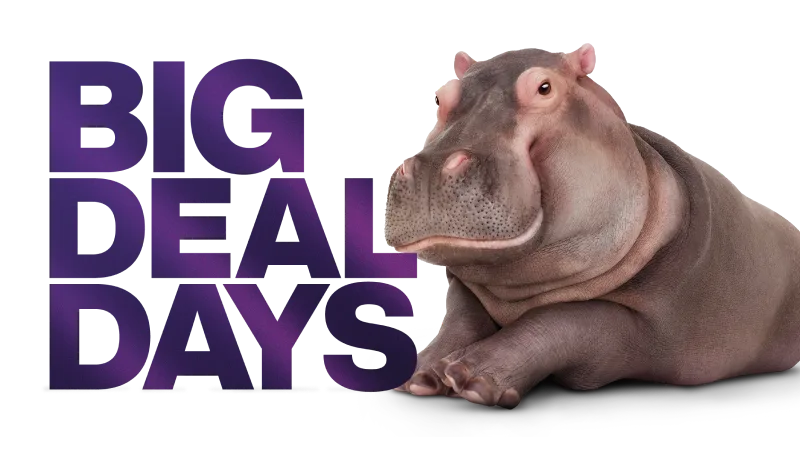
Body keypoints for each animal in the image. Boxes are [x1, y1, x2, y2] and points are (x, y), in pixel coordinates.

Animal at [383, 44, 800, 408]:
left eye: (545, 87)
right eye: (439, 98)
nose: (431, 168)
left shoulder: (646, 331)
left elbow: (564, 320)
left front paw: (471, 378)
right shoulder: (466, 289)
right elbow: (460, 318)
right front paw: (421, 373)